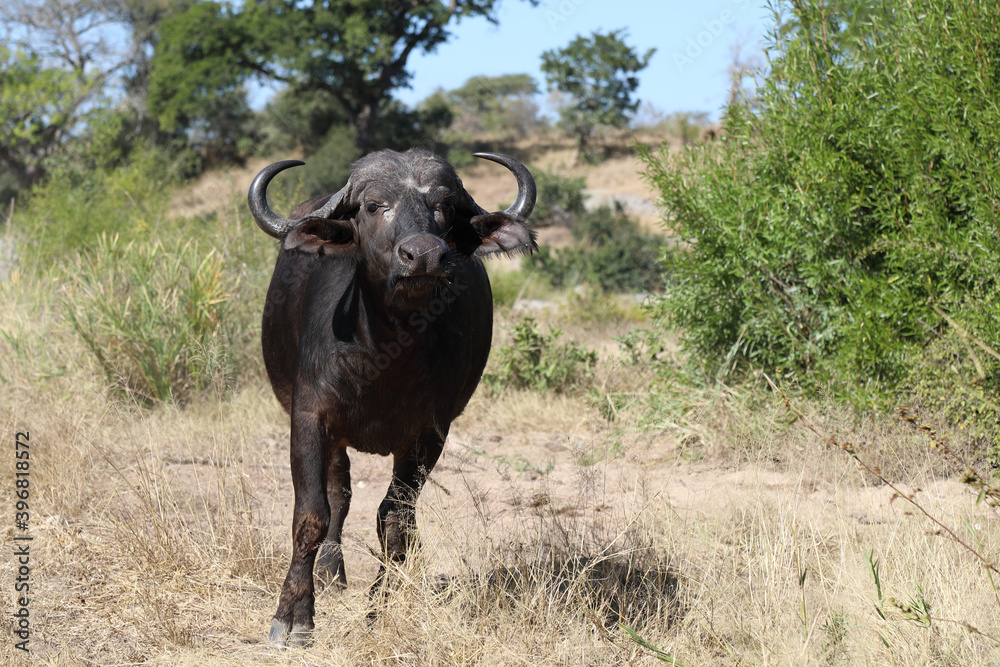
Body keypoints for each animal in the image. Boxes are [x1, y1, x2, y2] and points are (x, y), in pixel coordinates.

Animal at [247, 149, 536, 647]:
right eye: (372, 205)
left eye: (444, 206)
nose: (424, 255)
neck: (385, 352)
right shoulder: (309, 417)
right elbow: (311, 513)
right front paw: (294, 615)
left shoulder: (430, 434)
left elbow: (395, 519)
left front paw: (381, 604)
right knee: (339, 492)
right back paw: (330, 572)